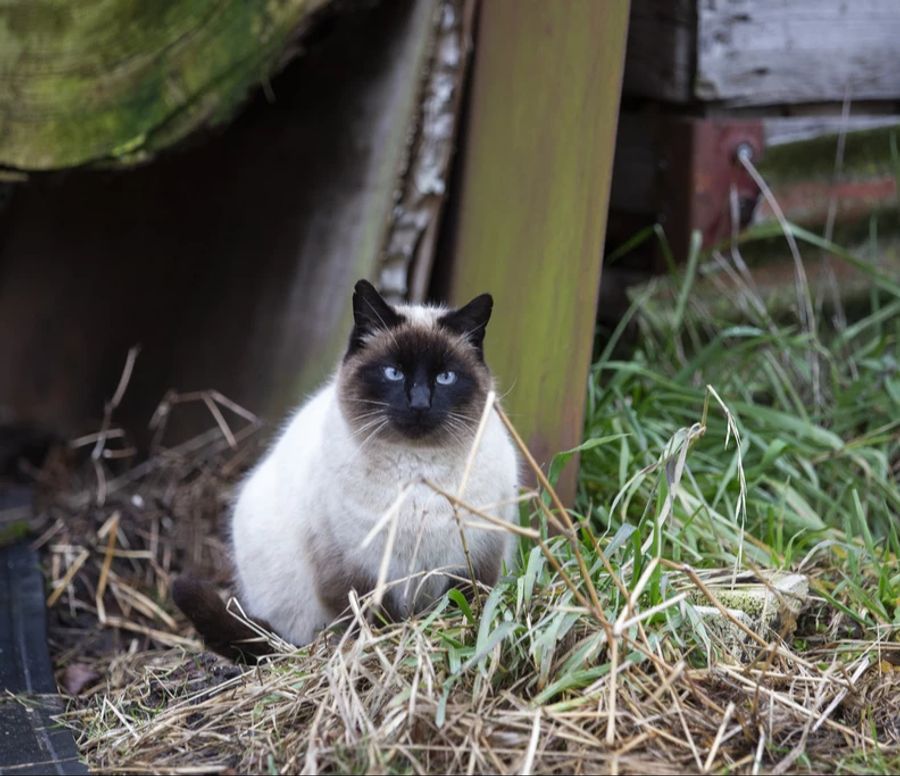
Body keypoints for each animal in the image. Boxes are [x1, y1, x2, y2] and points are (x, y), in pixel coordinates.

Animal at [172, 282, 516, 656]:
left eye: (445, 377)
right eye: (393, 372)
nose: (420, 404)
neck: (416, 472)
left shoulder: (473, 562)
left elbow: (463, 604)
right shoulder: (354, 569)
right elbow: (374, 620)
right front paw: (383, 644)